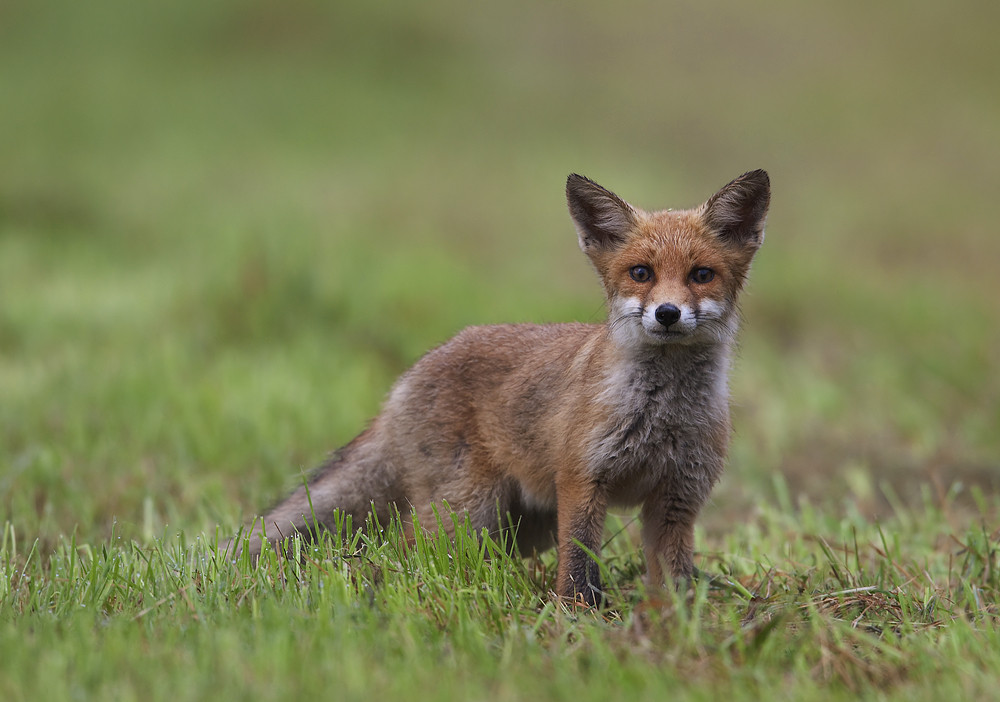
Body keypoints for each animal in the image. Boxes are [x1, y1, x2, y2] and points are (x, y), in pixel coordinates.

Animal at [230, 169, 768, 604]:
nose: (668, 313)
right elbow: (579, 568)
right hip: (469, 511)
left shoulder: (677, 499)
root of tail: (402, 382)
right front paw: (577, 619)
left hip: (524, 526)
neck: (663, 414)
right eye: (641, 273)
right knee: (405, 548)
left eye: (701, 275)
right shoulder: (583, 481)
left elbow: (673, 578)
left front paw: (673, 624)